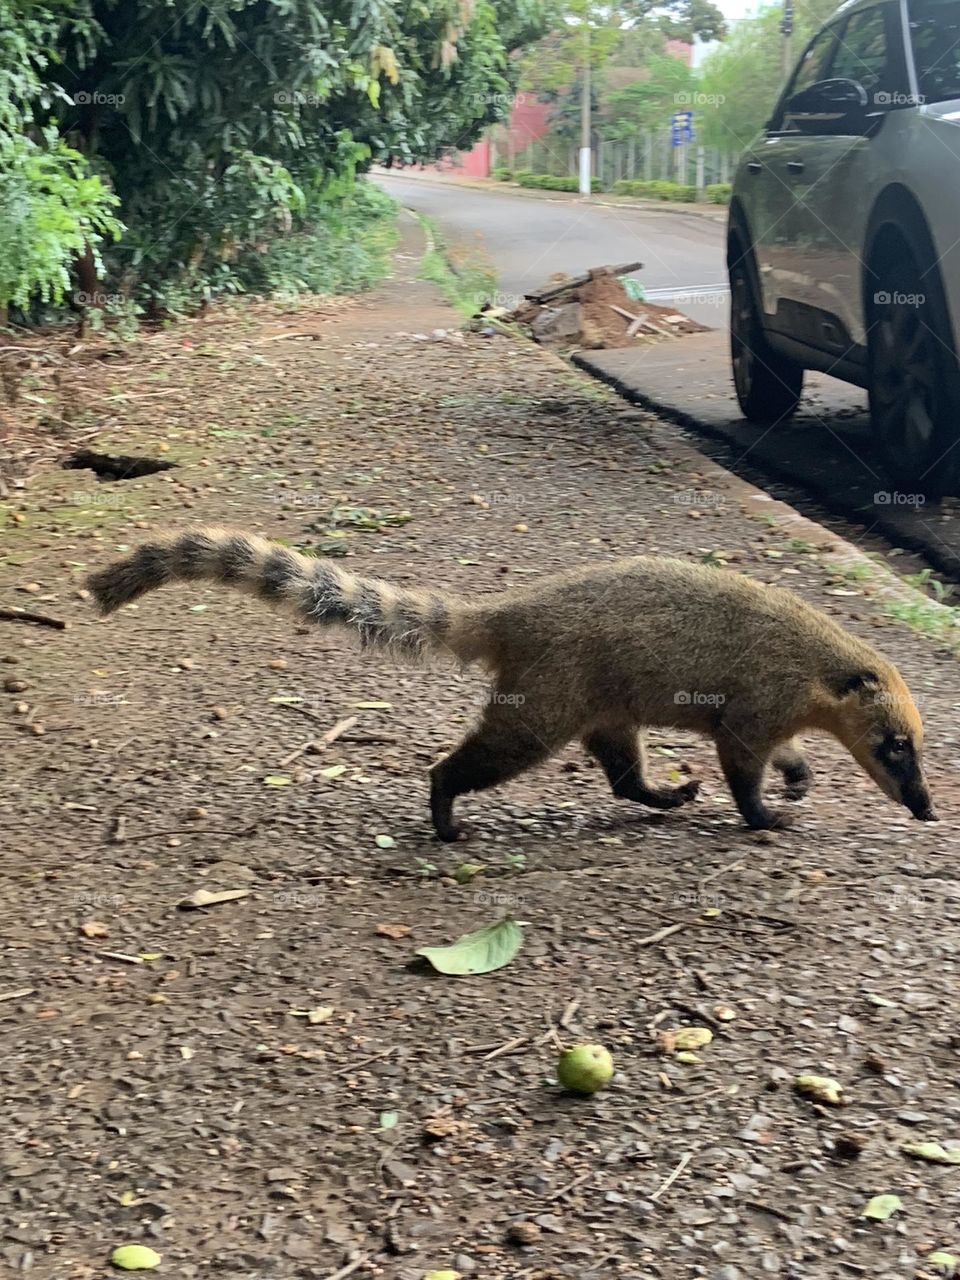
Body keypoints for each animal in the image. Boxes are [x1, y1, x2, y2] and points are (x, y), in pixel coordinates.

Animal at [88, 527, 936, 839]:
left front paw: (797, 772)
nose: (929, 810)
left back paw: (657, 794)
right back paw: (443, 804)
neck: (826, 660)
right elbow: (739, 757)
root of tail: (512, 612)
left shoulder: (778, 707)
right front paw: (762, 813)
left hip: (600, 699)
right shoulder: (760, 696)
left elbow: (770, 749)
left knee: (621, 769)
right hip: (549, 695)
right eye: (894, 747)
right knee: (492, 753)